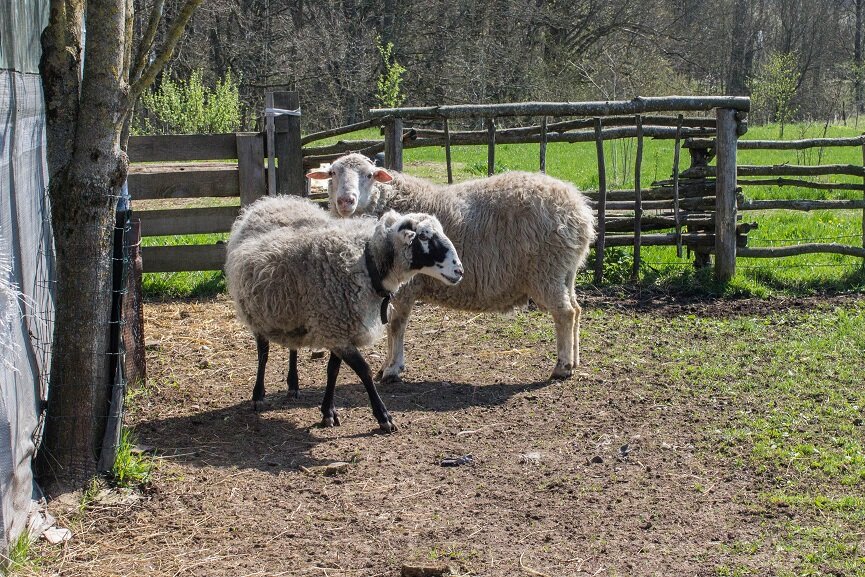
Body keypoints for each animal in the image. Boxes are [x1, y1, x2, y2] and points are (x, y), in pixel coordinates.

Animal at [226, 195, 462, 432]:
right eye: (423, 236)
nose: (459, 271)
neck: (366, 263)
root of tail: (270, 201)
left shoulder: (339, 328)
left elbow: (333, 371)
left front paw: (328, 412)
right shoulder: (336, 327)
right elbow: (364, 370)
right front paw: (383, 416)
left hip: (290, 309)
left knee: (292, 346)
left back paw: (293, 385)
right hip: (256, 311)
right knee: (263, 353)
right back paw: (258, 395)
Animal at [308, 154, 596, 382]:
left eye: (369, 175)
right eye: (332, 173)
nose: (346, 201)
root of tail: (581, 211)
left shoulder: (405, 285)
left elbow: (396, 325)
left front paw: (392, 369)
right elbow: (392, 326)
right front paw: (386, 366)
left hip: (547, 270)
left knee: (565, 313)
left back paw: (562, 366)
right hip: (565, 271)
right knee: (576, 309)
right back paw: (575, 360)